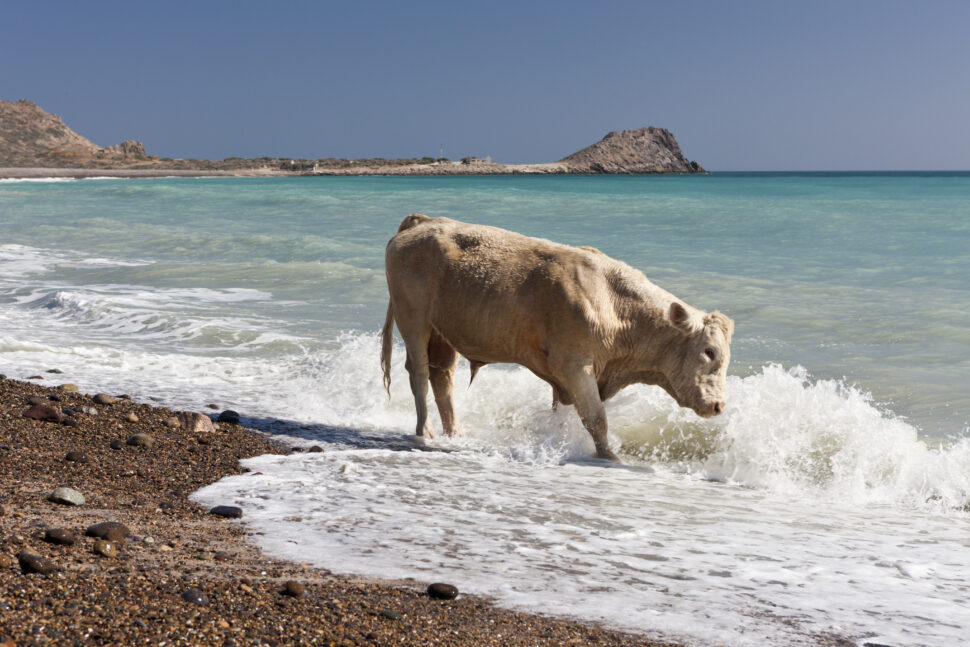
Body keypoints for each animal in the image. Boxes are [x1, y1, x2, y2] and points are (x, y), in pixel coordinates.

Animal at [382, 214, 728, 460]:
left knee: (443, 377)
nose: (719, 405)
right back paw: (425, 431)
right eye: (709, 351)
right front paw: (610, 457)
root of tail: (423, 221)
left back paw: (456, 434)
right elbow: (596, 418)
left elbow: (563, 417)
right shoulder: (573, 365)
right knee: (419, 374)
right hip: (413, 320)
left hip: (444, 333)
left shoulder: (564, 378)